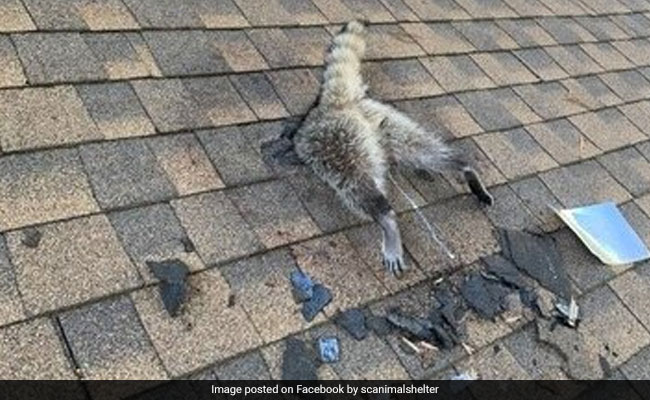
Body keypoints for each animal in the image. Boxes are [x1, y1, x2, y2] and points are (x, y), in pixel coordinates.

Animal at [265, 20, 493, 277]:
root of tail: (334, 105)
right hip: (383, 121)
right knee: (422, 150)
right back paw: (464, 167)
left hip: (338, 142)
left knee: (356, 184)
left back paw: (387, 219)